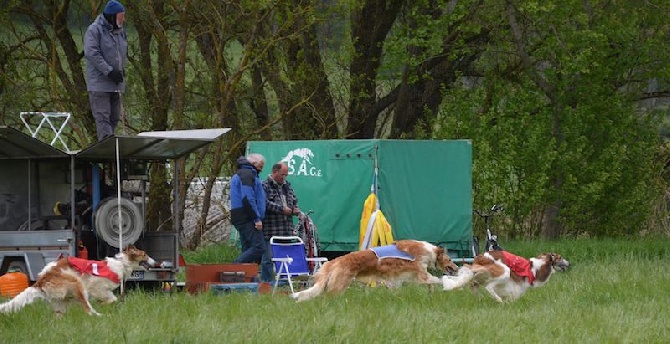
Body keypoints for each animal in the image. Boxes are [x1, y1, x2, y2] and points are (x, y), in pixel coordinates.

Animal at [0, 245, 156, 318]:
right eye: (145, 255)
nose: (156, 263)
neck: (121, 264)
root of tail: (40, 281)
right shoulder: (96, 286)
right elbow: (113, 298)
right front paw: (103, 303)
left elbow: (113, 299)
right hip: (76, 283)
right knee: (88, 309)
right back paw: (98, 315)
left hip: (61, 301)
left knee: (59, 314)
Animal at [292, 239, 460, 300]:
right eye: (450, 259)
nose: (457, 268)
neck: (430, 251)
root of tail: (336, 261)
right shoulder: (421, 273)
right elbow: (436, 279)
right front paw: (450, 284)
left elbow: (431, 283)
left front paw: (431, 292)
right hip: (340, 284)